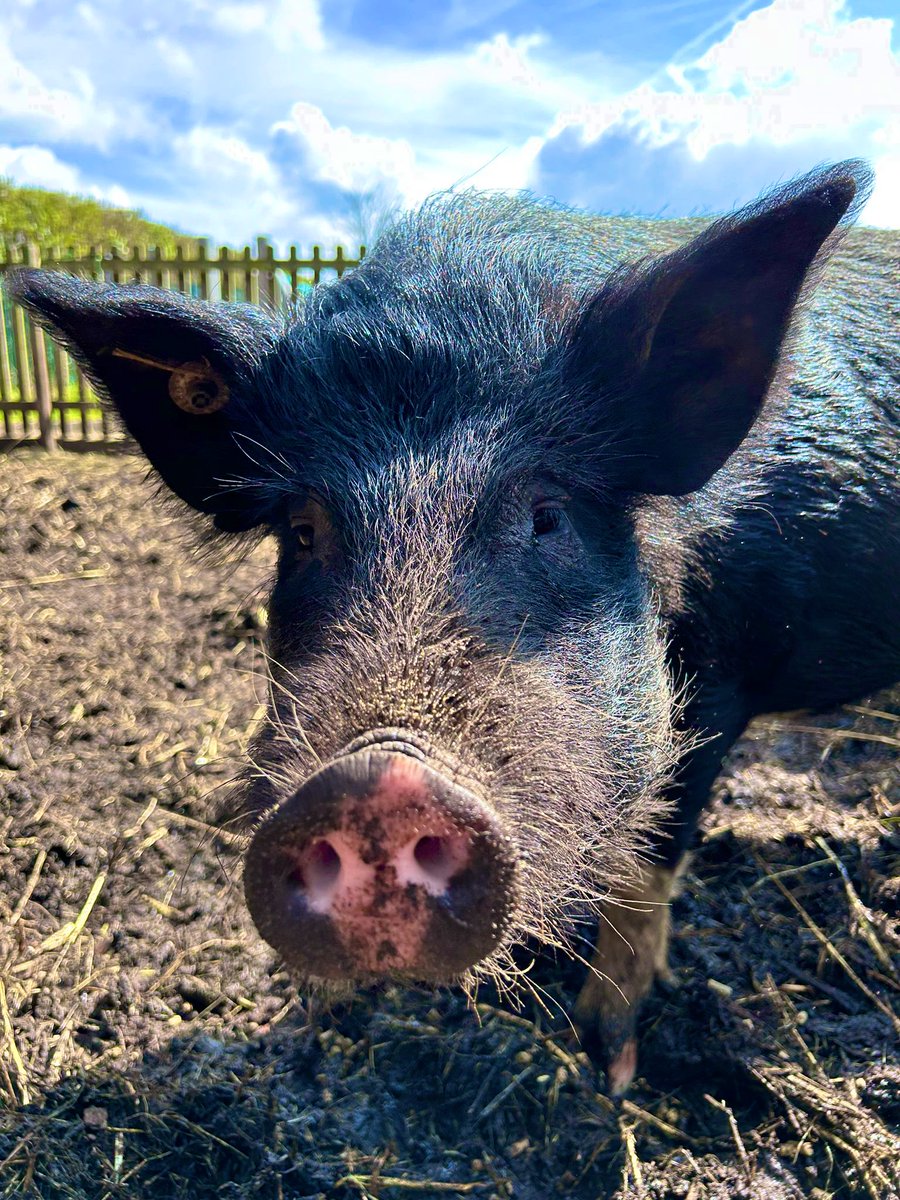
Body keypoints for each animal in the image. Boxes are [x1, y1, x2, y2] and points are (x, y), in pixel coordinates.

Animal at [9, 160, 899, 1095]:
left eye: (547, 516)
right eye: (302, 532)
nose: (379, 781)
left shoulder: (720, 682)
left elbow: (647, 864)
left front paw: (609, 1066)